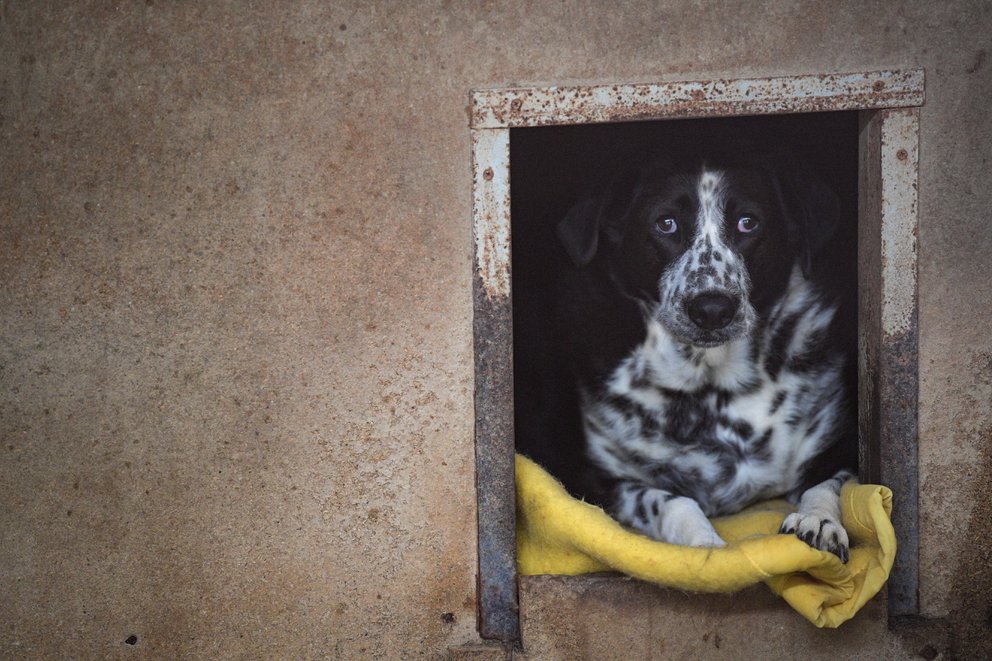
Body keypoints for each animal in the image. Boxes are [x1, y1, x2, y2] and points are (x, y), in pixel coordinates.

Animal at [552, 147, 860, 560]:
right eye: (665, 223)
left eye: (748, 223)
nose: (712, 309)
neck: (711, 388)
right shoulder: (591, 478)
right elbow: (671, 501)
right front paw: (704, 546)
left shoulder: (841, 445)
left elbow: (828, 485)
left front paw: (818, 521)